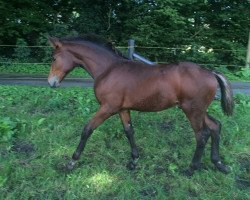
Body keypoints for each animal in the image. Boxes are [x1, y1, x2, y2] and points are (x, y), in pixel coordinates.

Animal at [47, 36, 233, 175]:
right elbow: (129, 131)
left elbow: (87, 129)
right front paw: (134, 161)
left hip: (192, 111)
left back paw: (191, 169)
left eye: (54, 58)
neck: (109, 69)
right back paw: (219, 164)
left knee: (202, 135)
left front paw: (71, 162)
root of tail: (210, 72)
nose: (51, 82)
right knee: (215, 126)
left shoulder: (107, 108)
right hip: (198, 110)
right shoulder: (122, 109)